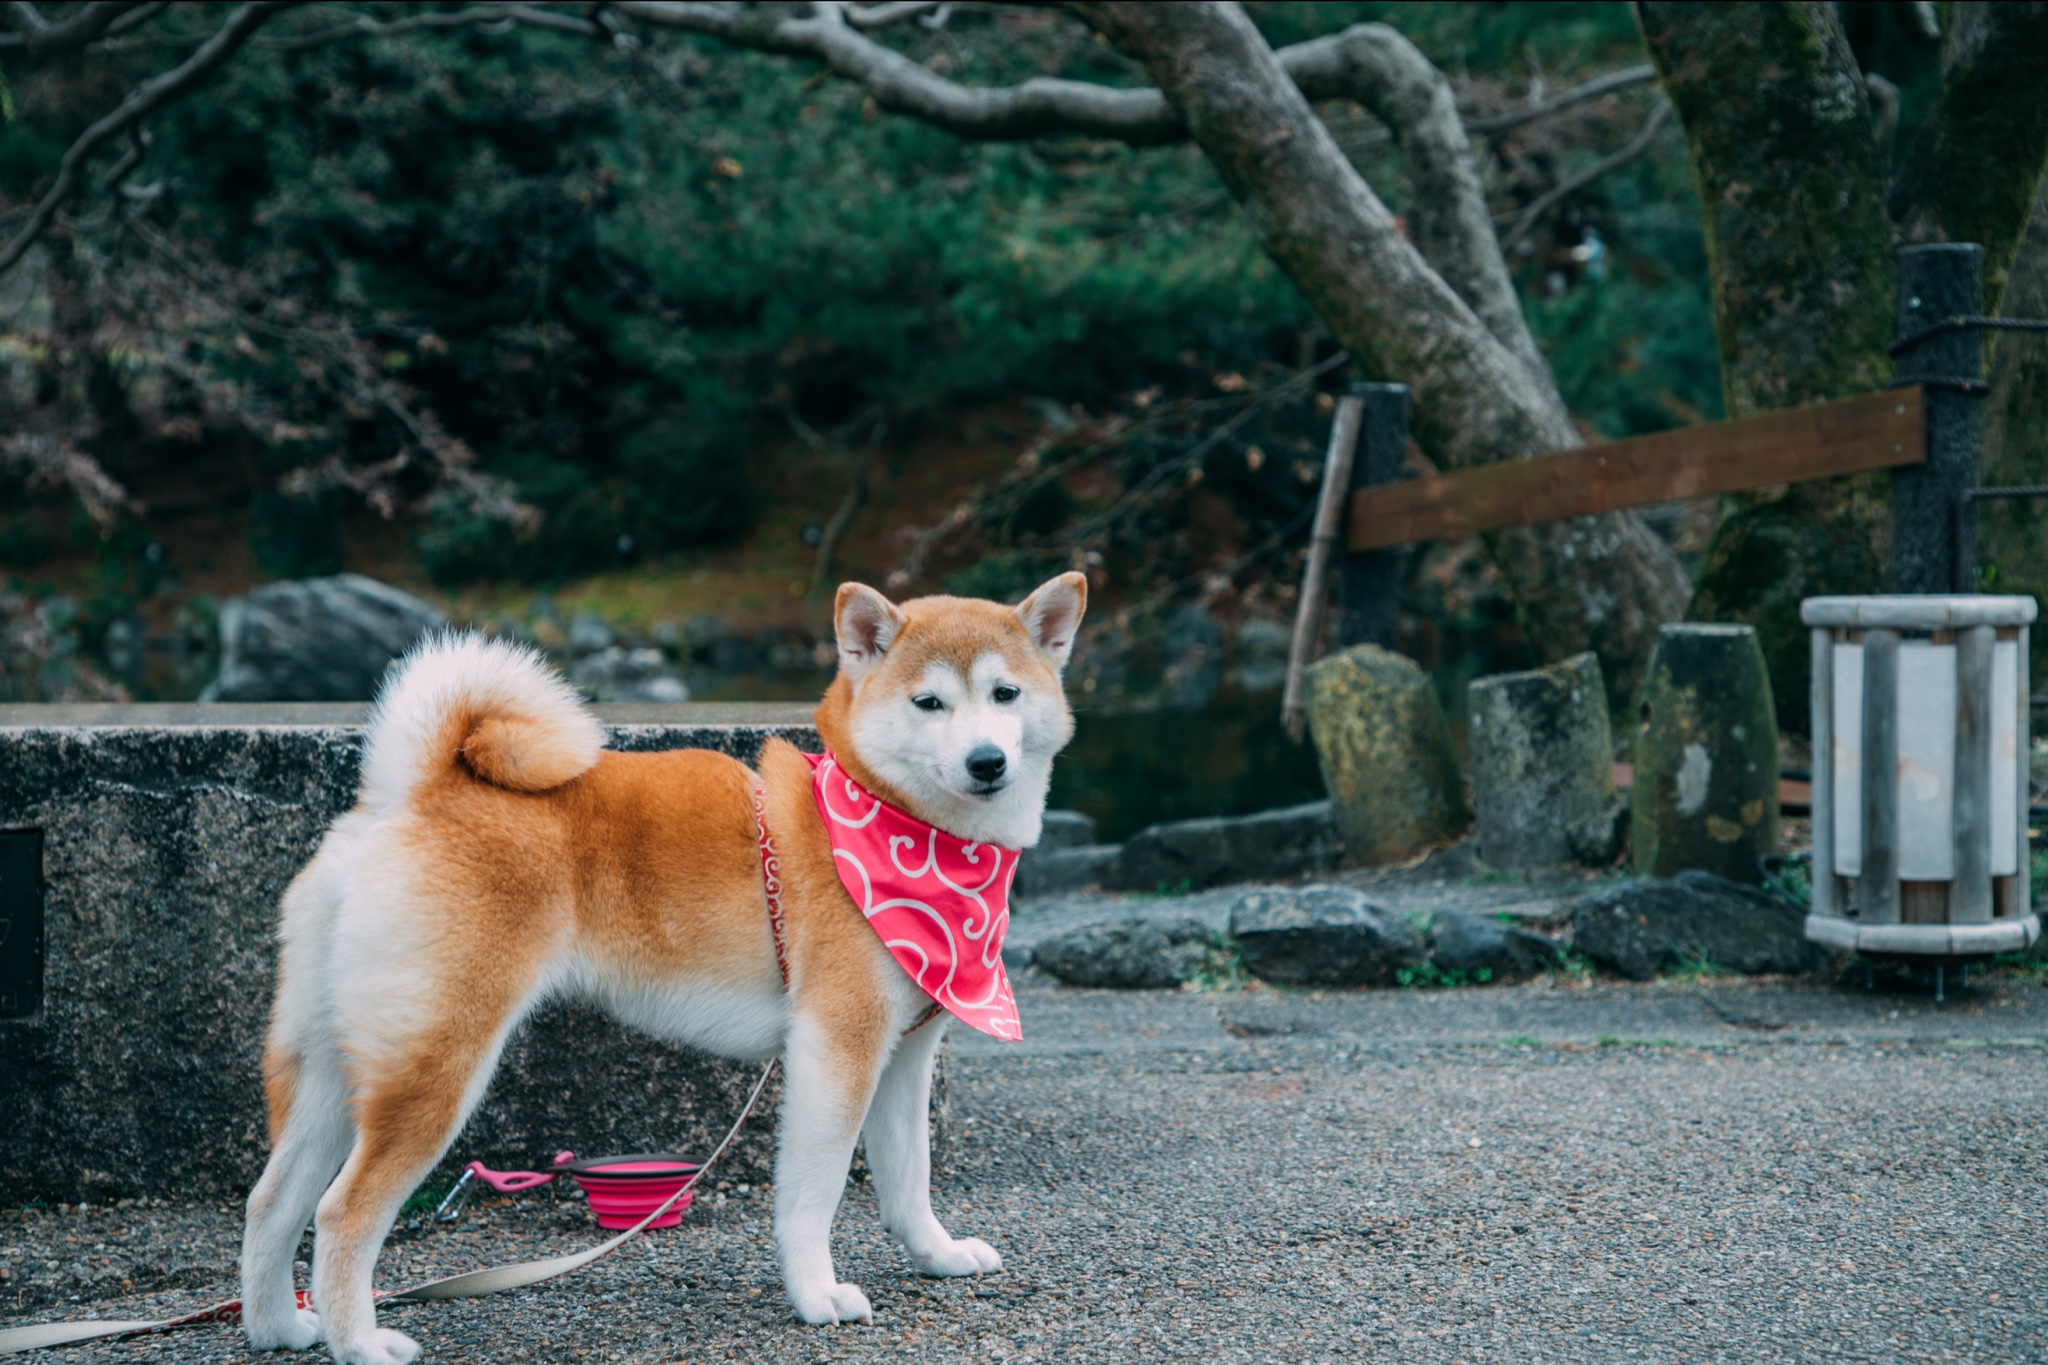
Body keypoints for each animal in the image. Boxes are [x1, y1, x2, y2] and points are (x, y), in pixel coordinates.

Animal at [239, 573, 1089, 1365]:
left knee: (271, 1201)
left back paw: (279, 1325)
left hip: (333, 1068)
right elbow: (812, 1194)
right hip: (436, 1065)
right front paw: (816, 1294)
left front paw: (937, 1254)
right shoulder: (837, 1046)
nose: (987, 760)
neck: (902, 827)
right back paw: (359, 1341)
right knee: (341, 1211)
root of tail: (407, 794)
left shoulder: (903, 1053)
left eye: (1005, 693)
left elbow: (909, 1179)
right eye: (928, 702)